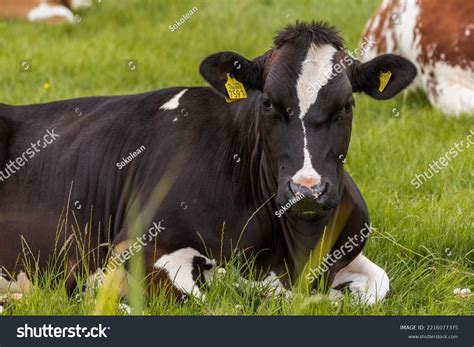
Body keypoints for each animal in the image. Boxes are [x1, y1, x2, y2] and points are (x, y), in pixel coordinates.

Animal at [0, 21, 414, 306]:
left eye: (347, 106)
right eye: (268, 103)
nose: (307, 189)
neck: (296, 250)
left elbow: (379, 284)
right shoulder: (134, 247)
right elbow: (213, 297)